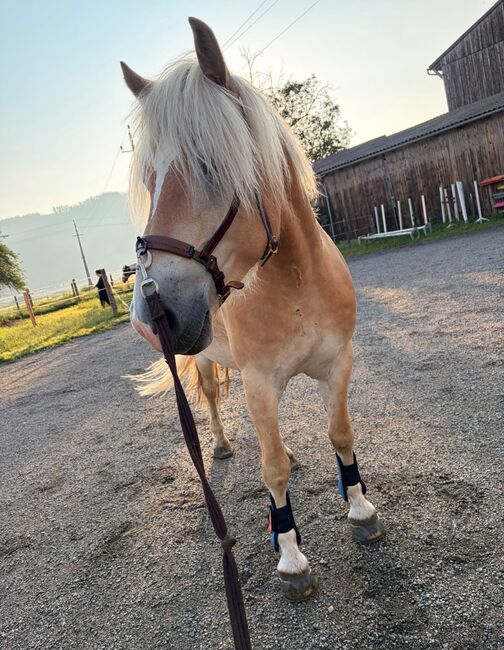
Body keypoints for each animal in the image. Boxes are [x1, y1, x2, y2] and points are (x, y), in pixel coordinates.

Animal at [123, 17, 383, 601]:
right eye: (149, 180)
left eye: (211, 166)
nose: (152, 317)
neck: (297, 280)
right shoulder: (262, 382)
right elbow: (271, 470)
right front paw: (290, 555)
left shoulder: (339, 365)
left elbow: (340, 435)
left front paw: (359, 509)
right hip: (205, 362)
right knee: (214, 400)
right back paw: (219, 446)